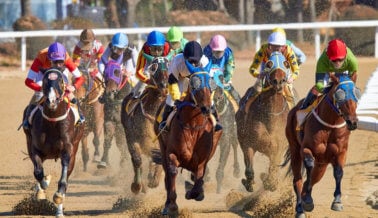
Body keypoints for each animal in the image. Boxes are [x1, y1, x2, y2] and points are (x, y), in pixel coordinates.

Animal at [22, 67, 84, 216]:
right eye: (45, 81)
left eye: (61, 81)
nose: (51, 101)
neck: (52, 122)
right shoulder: (35, 149)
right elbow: (38, 172)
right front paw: (43, 186)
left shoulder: (68, 149)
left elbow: (63, 179)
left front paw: (58, 195)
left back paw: (59, 211)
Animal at [121, 56, 170, 194]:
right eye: (154, 67)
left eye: (168, 65)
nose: (164, 85)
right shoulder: (132, 138)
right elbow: (137, 160)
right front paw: (137, 186)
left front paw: (154, 180)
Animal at [153, 70, 223, 216]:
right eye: (194, 85)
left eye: (212, 84)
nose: (206, 108)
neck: (193, 125)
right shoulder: (172, 153)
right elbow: (172, 173)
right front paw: (172, 206)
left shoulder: (202, 159)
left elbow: (199, 178)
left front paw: (193, 192)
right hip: (162, 146)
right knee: (167, 176)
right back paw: (167, 205)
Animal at [236, 51, 292, 192]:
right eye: (269, 64)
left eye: (286, 63)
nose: (279, 81)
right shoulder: (248, 144)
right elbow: (249, 170)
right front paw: (249, 183)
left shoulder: (278, 148)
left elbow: (273, 168)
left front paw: (270, 183)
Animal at [284, 72, 360, 217]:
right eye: (339, 94)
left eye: (356, 93)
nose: (352, 122)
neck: (330, 125)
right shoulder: (306, 149)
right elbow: (309, 166)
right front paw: (308, 201)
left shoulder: (341, 152)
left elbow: (339, 172)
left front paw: (337, 202)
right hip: (295, 150)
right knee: (298, 180)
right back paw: (300, 208)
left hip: (322, 164)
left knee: (313, 178)